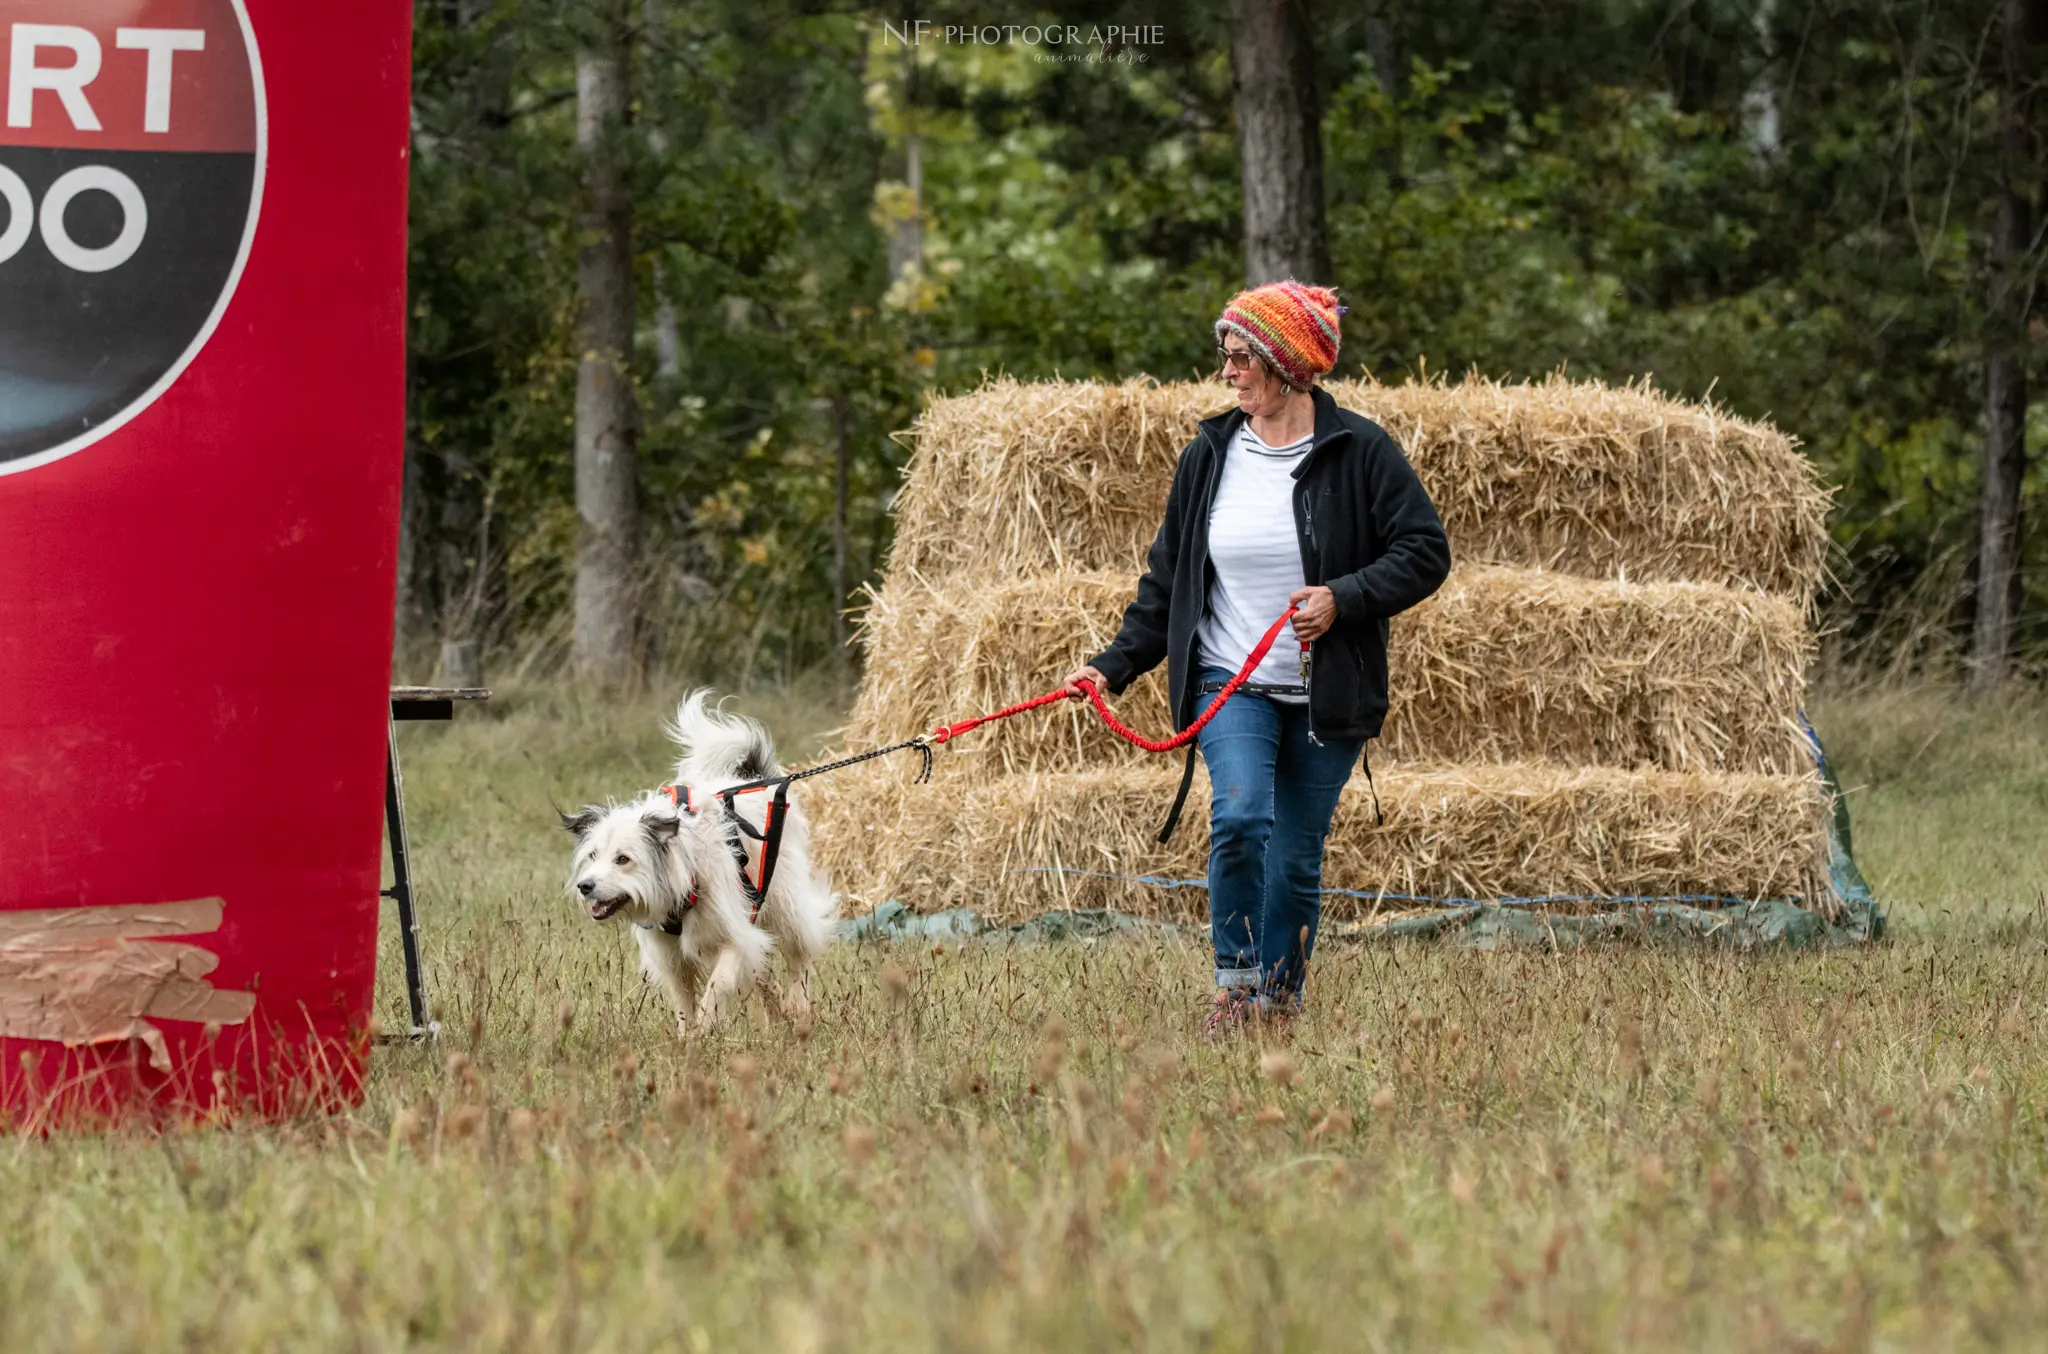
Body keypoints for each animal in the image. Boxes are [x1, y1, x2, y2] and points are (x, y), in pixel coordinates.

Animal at [557, 692, 835, 1028]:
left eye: (623, 859)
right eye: (593, 855)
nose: (585, 886)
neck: (682, 876)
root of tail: (757, 779)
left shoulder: (733, 937)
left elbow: (719, 984)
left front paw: (705, 1027)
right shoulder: (671, 955)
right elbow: (683, 1001)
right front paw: (687, 1036)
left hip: (784, 900)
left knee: (798, 954)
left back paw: (798, 1007)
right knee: (764, 970)